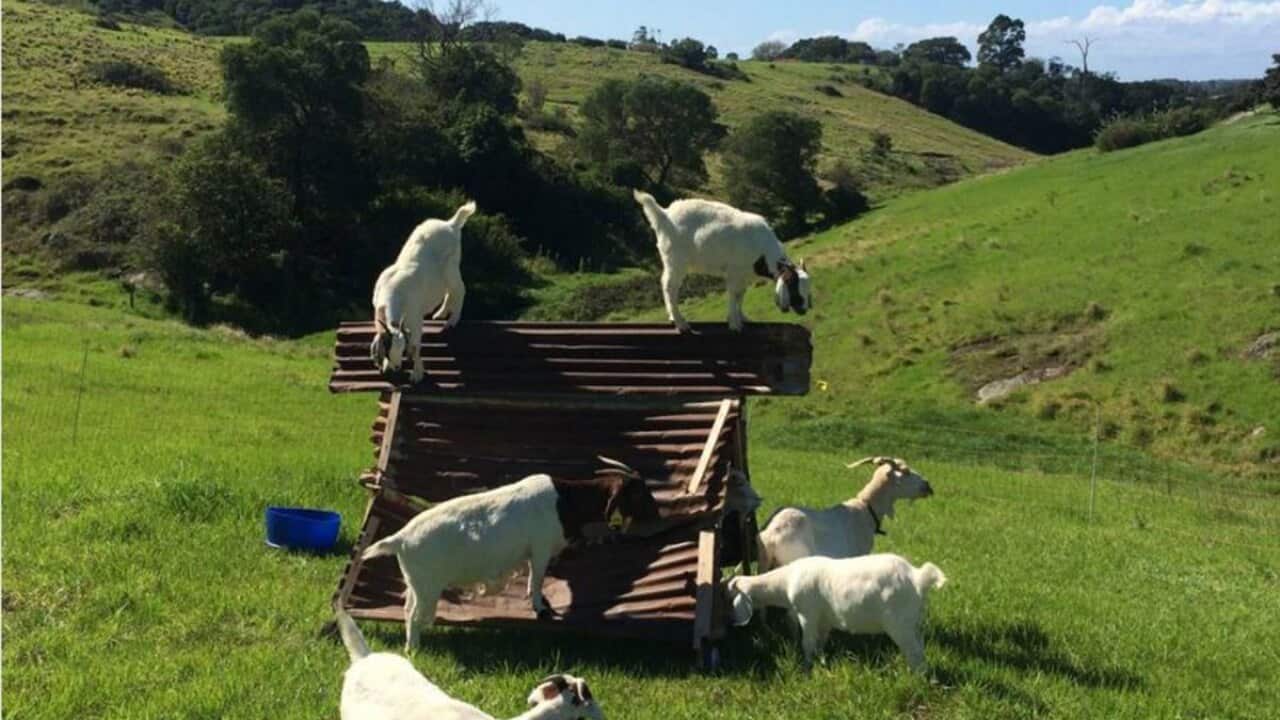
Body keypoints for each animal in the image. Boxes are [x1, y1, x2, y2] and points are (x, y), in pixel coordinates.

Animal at [360, 457, 660, 651]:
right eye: (639, 493)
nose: (658, 515)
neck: (564, 499)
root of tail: (400, 538)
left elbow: (531, 579)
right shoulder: (540, 549)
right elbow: (537, 579)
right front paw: (540, 608)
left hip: (416, 584)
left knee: (406, 609)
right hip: (428, 587)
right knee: (413, 616)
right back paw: (414, 650)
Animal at [371, 201, 476, 383]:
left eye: (401, 349)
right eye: (388, 347)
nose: (396, 368)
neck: (393, 293)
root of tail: (451, 224)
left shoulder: (415, 318)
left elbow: (415, 345)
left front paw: (417, 374)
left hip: (451, 267)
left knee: (459, 289)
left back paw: (452, 320)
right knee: (448, 291)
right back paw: (440, 314)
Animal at [632, 190, 811, 332]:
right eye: (794, 287)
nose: (804, 310)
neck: (763, 253)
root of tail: (664, 214)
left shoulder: (744, 276)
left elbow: (740, 295)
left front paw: (742, 317)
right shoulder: (734, 273)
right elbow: (733, 294)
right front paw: (735, 324)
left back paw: (672, 317)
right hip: (675, 260)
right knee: (669, 287)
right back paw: (681, 323)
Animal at [726, 554, 946, 671]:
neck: (786, 581)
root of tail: (917, 577)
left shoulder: (807, 614)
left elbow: (807, 643)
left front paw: (807, 668)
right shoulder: (824, 621)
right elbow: (820, 643)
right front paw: (821, 662)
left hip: (900, 623)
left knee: (914, 651)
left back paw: (915, 678)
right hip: (914, 622)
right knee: (920, 648)